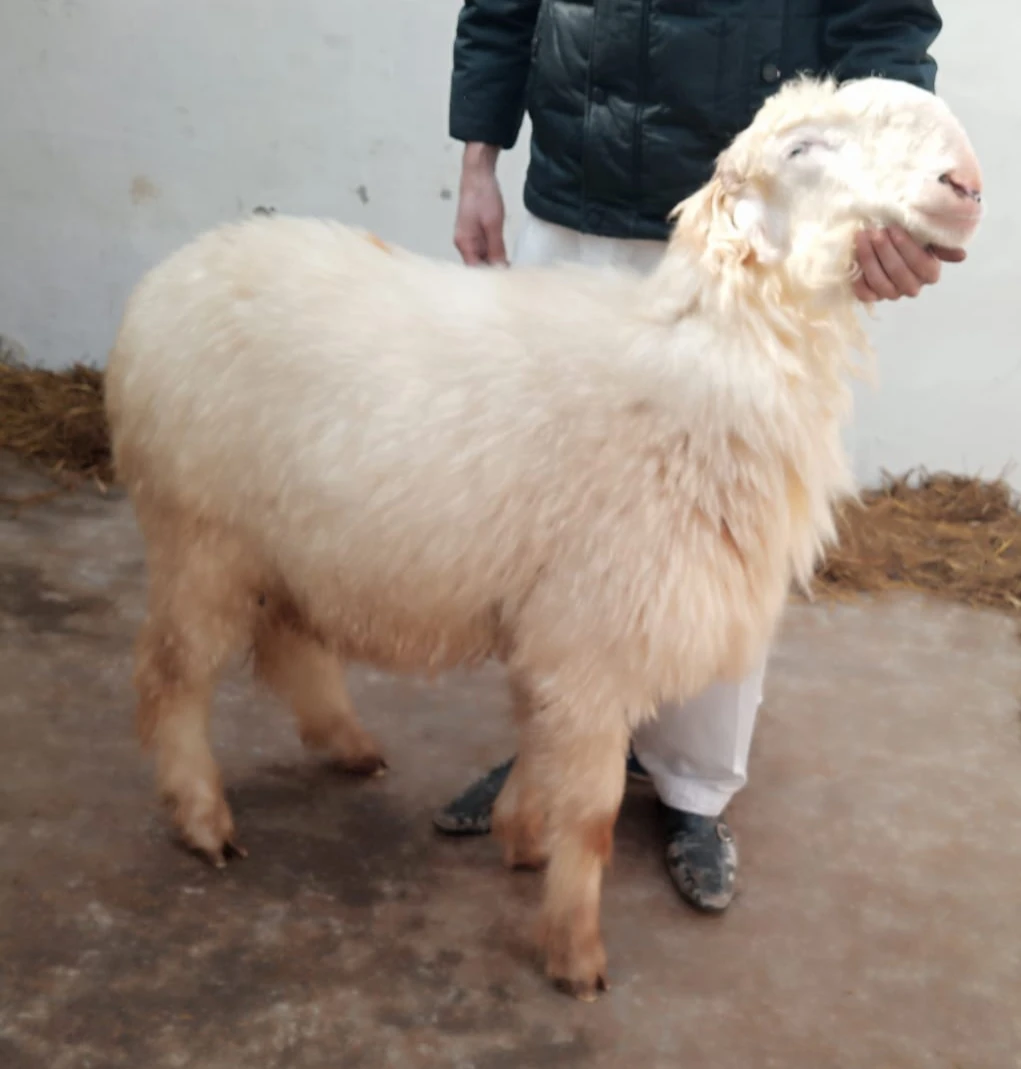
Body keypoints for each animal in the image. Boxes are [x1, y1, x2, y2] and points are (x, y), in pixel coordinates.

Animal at [105, 75, 983, 1000]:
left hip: (287, 540)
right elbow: (592, 813)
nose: (964, 183)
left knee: (286, 643)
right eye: (801, 149)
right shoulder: (595, 629)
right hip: (200, 530)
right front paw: (573, 948)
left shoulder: (560, 624)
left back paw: (347, 745)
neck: (710, 357)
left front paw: (521, 831)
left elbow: (537, 731)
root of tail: (170, 275)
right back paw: (201, 817)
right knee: (172, 673)